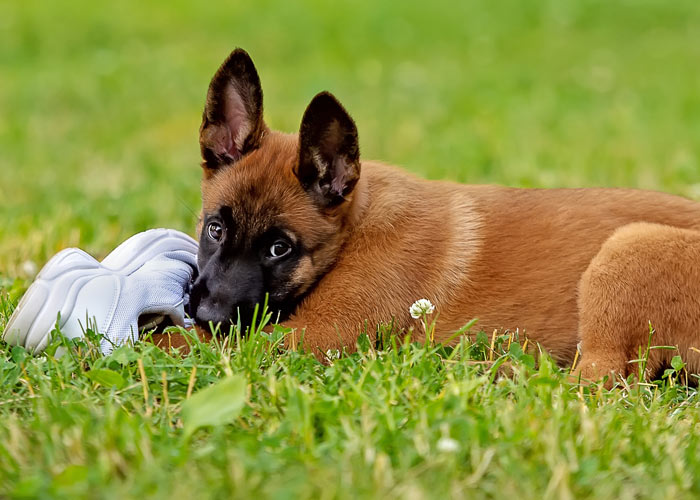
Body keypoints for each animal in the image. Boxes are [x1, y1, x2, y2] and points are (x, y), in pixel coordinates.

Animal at [189, 47, 700, 368]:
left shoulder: (312, 334)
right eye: (215, 229)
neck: (356, 230)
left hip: (630, 246)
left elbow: (195, 343)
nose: (208, 314)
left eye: (280, 249)